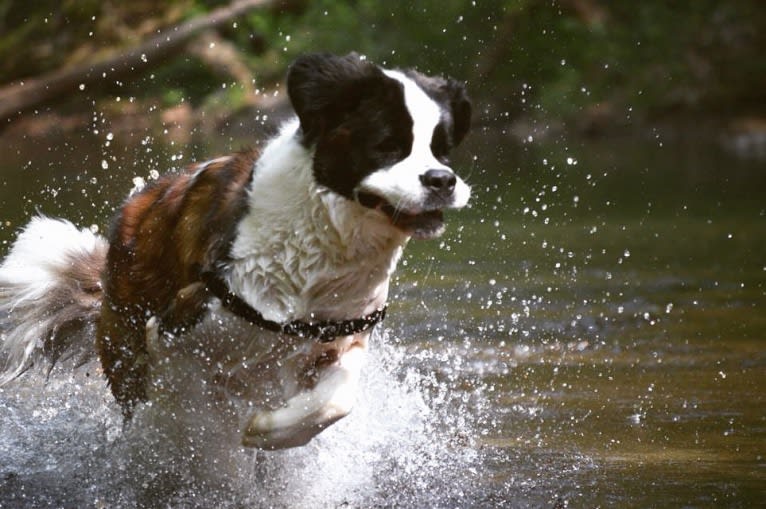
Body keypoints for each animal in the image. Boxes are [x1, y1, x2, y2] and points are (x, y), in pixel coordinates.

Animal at [0, 51, 472, 448]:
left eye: (443, 151)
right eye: (388, 146)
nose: (441, 180)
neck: (324, 240)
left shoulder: (338, 341)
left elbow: (335, 402)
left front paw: (267, 431)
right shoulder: (179, 329)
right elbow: (184, 406)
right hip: (126, 345)